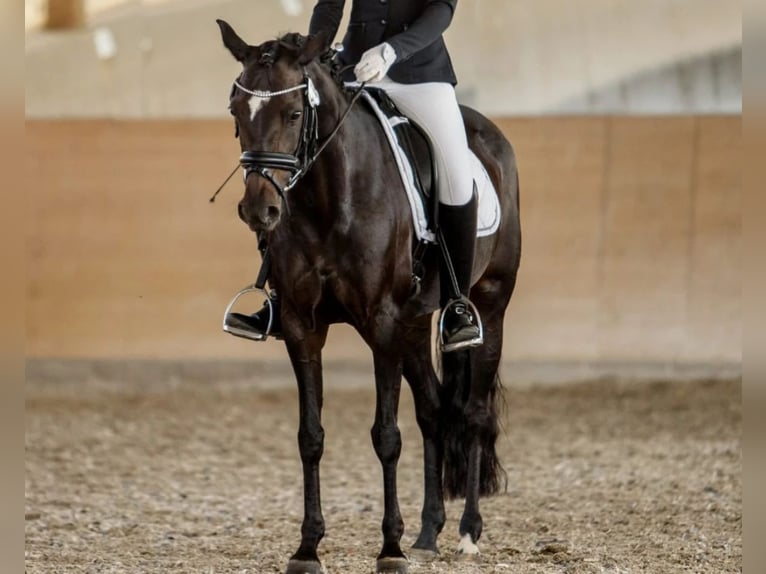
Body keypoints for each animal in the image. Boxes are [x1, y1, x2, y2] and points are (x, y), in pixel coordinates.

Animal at [219, 20, 524, 572]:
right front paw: (308, 547)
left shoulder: (381, 324)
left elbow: (386, 436)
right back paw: (428, 532)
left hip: (490, 303)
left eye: (293, 113)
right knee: (434, 411)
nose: (259, 210)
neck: (329, 199)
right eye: (236, 111)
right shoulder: (302, 326)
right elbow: (310, 436)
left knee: (473, 411)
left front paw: (389, 548)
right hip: (415, 324)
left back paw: (468, 531)